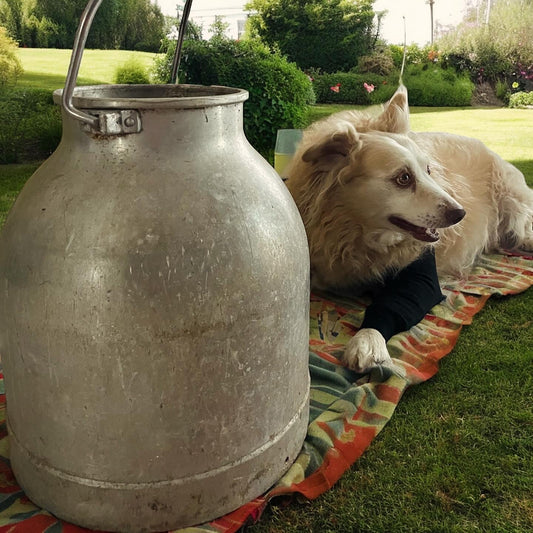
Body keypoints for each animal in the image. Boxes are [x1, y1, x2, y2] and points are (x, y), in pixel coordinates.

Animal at [286, 86, 532, 370]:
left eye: (428, 170)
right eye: (403, 178)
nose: (460, 214)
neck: (354, 230)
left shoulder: (422, 277)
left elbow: (388, 306)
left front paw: (367, 340)